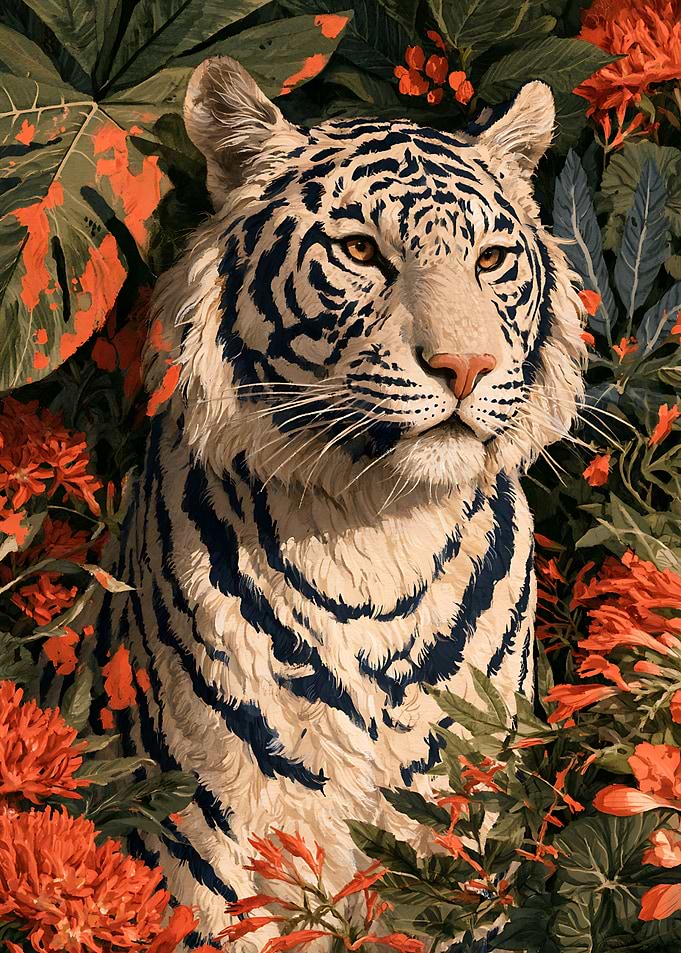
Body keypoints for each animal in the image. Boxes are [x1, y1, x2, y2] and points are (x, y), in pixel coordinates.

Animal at [97, 55, 585, 949]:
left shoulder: (465, 834)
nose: (464, 365)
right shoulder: (209, 832)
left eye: (491, 260)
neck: (375, 531)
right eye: (360, 250)